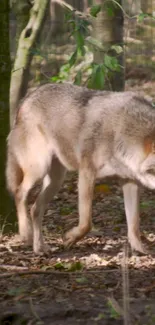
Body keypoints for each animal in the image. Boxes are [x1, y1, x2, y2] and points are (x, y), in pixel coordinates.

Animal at [6, 82, 155, 254]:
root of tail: (27, 98)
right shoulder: (86, 173)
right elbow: (86, 223)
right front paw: (70, 238)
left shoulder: (130, 182)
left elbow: (134, 224)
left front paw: (141, 250)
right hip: (38, 169)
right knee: (19, 193)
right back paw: (25, 233)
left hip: (56, 181)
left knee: (35, 208)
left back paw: (39, 248)